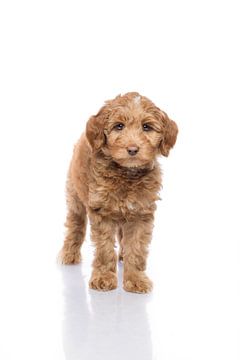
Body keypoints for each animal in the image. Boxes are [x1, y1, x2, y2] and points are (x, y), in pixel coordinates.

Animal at [59, 92, 177, 292]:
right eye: (118, 126)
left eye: (146, 127)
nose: (132, 149)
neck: (127, 174)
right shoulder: (101, 212)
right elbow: (104, 249)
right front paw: (104, 278)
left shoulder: (141, 214)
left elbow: (136, 248)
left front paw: (135, 279)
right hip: (75, 195)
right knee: (75, 225)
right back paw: (69, 254)